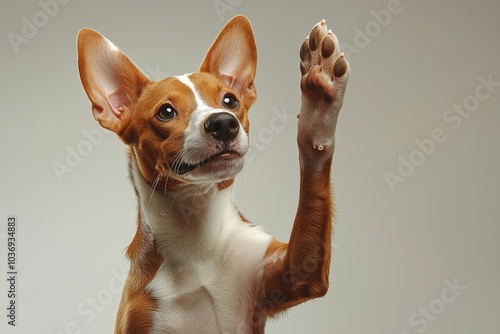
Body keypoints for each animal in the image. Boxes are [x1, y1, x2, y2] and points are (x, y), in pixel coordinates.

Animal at [77, 14, 348, 332]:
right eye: (166, 112)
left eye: (230, 101)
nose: (223, 122)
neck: (195, 232)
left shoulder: (293, 274)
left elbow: (312, 182)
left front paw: (320, 95)